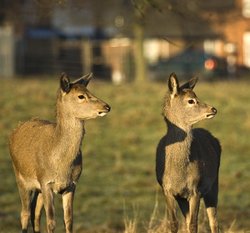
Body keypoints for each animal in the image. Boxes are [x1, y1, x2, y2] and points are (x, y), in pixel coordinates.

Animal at [8, 73, 110, 233]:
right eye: (81, 96)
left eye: (89, 91)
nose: (106, 106)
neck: (60, 164)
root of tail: (15, 130)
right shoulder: (46, 182)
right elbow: (51, 221)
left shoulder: (72, 184)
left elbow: (68, 220)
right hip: (20, 177)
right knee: (24, 213)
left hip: (38, 188)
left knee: (35, 213)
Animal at [156, 73, 221, 233]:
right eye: (191, 100)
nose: (213, 109)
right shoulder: (167, 190)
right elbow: (174, 224)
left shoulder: (195, 189)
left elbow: (193, 224)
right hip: (183, 198)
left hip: (213, 185)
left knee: (214, 222)